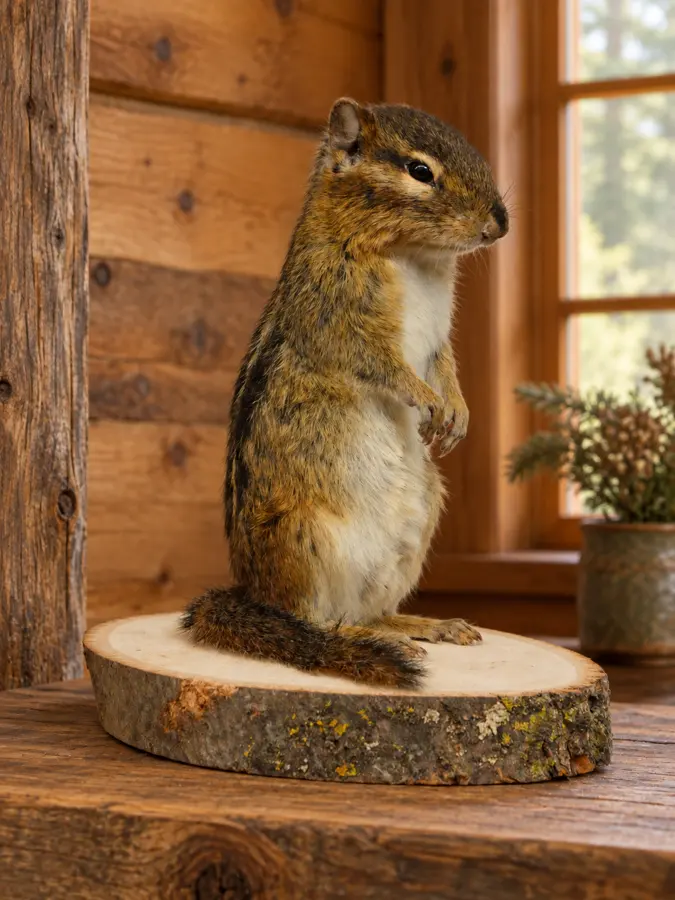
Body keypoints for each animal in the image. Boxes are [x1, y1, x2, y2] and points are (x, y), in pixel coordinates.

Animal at [181, 98, 509, 689]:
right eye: (420, 171)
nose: (500, 222)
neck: (416, 258)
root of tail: (251, 592)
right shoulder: (336, 312)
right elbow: (380, 364)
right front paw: (425, 398)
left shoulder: (440, 337)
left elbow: (445, 363)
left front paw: (457, 409)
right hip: (304, 541)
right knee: (313, 624)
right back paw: (365, 638)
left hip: (418, 524)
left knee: (369, 612)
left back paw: (422, 625)